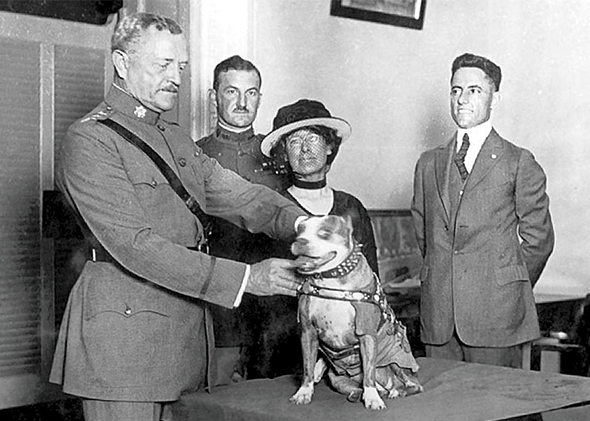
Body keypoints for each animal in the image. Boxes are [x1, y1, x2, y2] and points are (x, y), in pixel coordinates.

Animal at [290, 215, 420, 408]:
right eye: (299, 231)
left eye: (325, 233)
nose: (300, 241)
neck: (331, 281)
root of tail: (389, 384)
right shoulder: (308, 332)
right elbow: (308, 367)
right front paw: (303, 392)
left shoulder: (366, 334)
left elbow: (368, 371)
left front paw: (372, 398)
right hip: (337, 379)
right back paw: (358, 394)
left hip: (397, 361)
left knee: (413, 384)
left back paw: (397, 391)